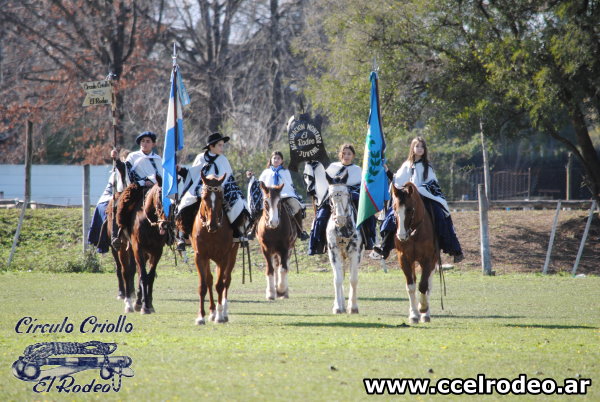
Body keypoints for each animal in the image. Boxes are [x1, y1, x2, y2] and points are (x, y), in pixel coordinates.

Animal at [116, 184, 170, 316]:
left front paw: (148, 305)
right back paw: (129, 304)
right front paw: (145, 307)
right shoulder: (138, 248)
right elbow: (144, 276)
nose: (165, 224)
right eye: (159, 196)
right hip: (124, 249)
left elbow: (149, 276)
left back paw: (138, 302)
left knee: (139, 273)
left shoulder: (157, 251)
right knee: (126, 272)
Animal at [192, 172, 239, 324]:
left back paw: (223, 312)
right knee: (210, 280)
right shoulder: (200, 256)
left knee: (226, 280)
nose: (212, 224)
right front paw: (201, 316)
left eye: (220, 197)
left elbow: (220, 284)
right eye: (205, 197)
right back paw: (212, 311)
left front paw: (219, 316)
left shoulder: (223, 257)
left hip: (232, 255)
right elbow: (203, 285)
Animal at [392, 182, 438, 324]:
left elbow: (423, 285)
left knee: (429, 284)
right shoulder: (404, 259)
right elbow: (411, 286)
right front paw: (413, 314)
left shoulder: (428, 259)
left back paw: (425, 314)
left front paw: (423, 308)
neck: (414, 233)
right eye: (394, 209)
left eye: (410, 210)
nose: (401, 236)